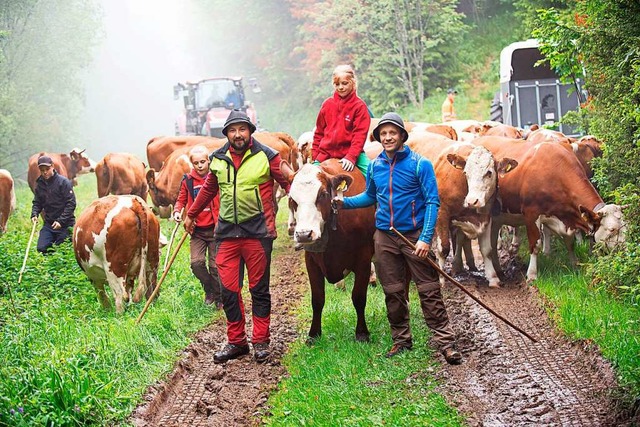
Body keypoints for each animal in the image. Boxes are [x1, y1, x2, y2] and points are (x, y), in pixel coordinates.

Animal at [284, 160, 376, 344]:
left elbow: (359, 297)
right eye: (292, 199)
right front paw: (313, 334)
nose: (304, 234)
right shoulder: (311, 261)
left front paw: (362, 333)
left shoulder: (363, 259)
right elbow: (317, 299)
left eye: (323, 194)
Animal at [480, 137, 624, 282]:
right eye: (612, 229)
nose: (624, 252)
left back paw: (499, 271)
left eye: (626, 227)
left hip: (497, 218)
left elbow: (569, 242)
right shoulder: (531, 214)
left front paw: (575, 265)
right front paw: (532, 275)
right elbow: (535, 245)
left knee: (493, 242)